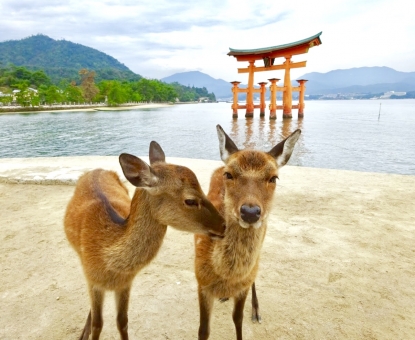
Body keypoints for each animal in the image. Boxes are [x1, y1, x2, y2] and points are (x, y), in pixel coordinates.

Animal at [64, 141, 226, 340]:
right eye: (190, 200)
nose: (224, 225)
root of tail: (97, 169)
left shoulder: (126, 283)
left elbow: (122, 321)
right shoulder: (92, 279)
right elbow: (98, 324)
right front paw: (88, 331)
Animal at [195, 125, 302, 340]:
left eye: (273, 177)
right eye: (229, 175)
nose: (250, 212)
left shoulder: (243, 284)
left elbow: (238, 319)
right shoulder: (200, 281)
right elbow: (203, 330)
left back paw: (256, 311)